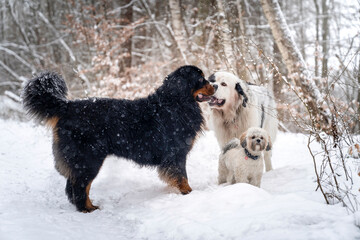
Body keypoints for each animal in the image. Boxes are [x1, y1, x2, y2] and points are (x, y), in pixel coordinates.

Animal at [22, 65, 214, 212]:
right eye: (201, 78)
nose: (214, 83)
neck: (176, 103)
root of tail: (67, 107)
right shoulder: (176, 154)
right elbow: (182, 177)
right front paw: (189, 193)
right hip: (88, 159)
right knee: (80, 186)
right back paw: (87, 209)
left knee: (73, 185)